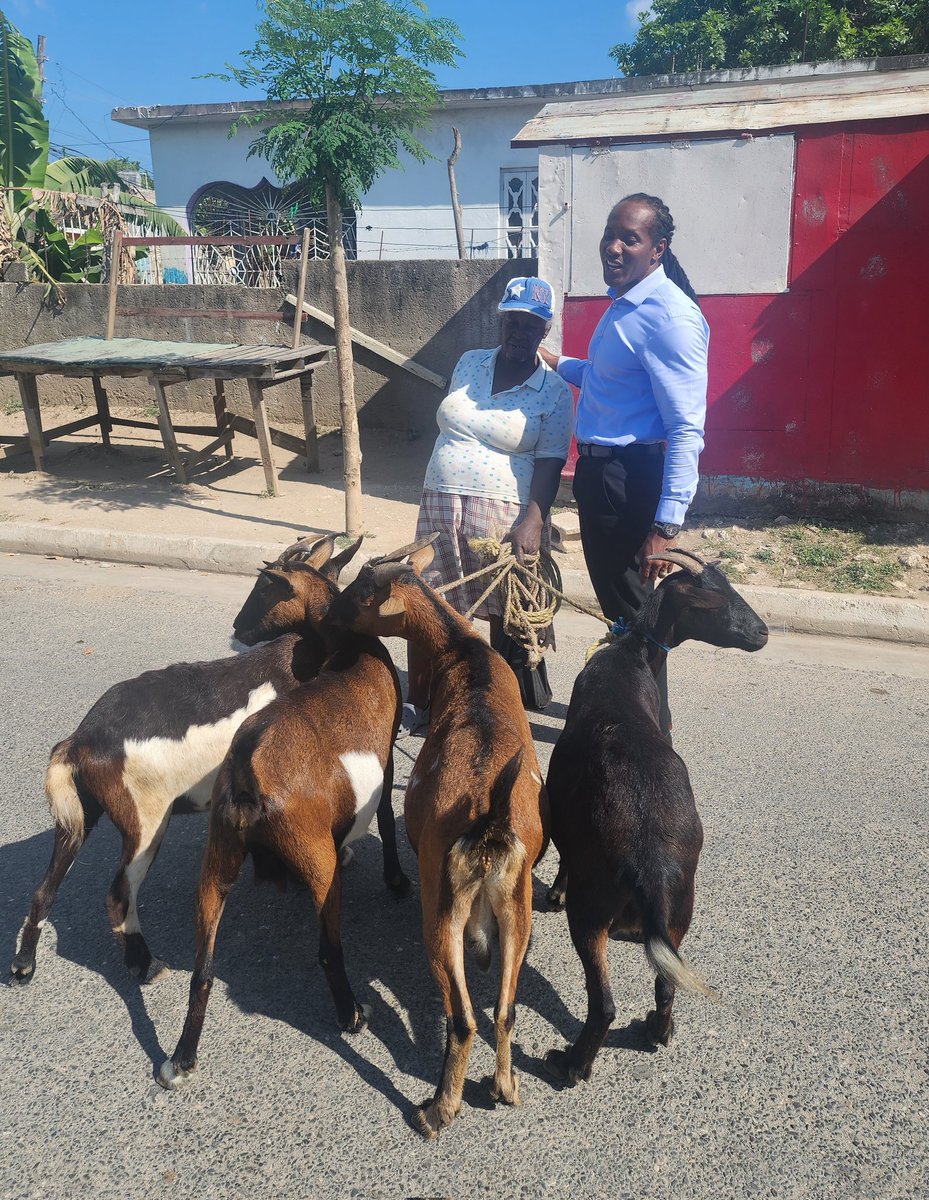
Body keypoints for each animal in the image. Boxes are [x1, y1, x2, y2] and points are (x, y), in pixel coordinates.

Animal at [10, 535, 369, 984]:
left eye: (263, 589)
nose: (237, 627)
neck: (293, 661)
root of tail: (78, 742)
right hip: (144, 821)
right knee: (118, 896)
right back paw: (145, 965)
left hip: (81, 811)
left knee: (47, 886)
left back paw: (24, 963)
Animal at [326, 540, 549, 1137]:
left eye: (358, 594)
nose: (328, 615)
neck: (461, 650)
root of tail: (490, 823)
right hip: (518, 904)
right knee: (504, 1009)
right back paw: (504, 1087)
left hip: (440, 909)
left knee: (463, 1018)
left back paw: (436, 1110)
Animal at [542, 552, 768, 1089]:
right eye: (717, 598)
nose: (763, 632)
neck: (630, 656)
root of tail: (650, 864)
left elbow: (563, 853)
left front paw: (553, 892)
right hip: (680, 910)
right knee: (666, 984)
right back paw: (656, 1031)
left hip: (592, 911)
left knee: (602, 1004)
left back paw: (571, 1063)